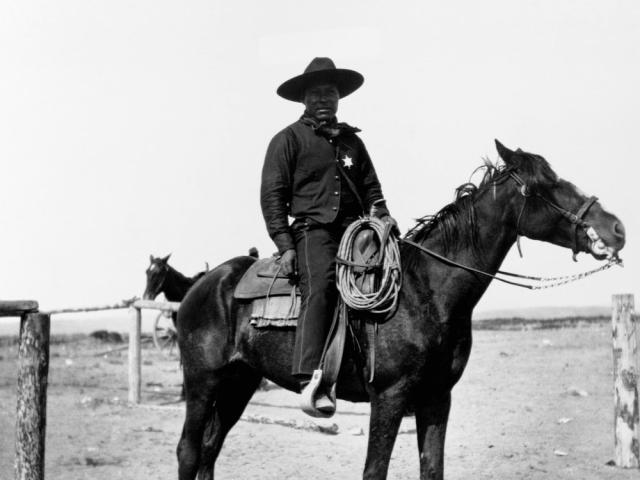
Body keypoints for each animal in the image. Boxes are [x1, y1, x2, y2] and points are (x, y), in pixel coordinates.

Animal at [175, 142, 624, 480]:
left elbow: (432, 469)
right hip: (203, 382)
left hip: (240, 382)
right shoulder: (389, 399)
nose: (616, 228)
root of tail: (204, 284)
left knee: (210, 448)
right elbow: (375, 471)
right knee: (188, 450)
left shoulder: (437, 399)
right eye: (546, 184)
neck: (426, 291)